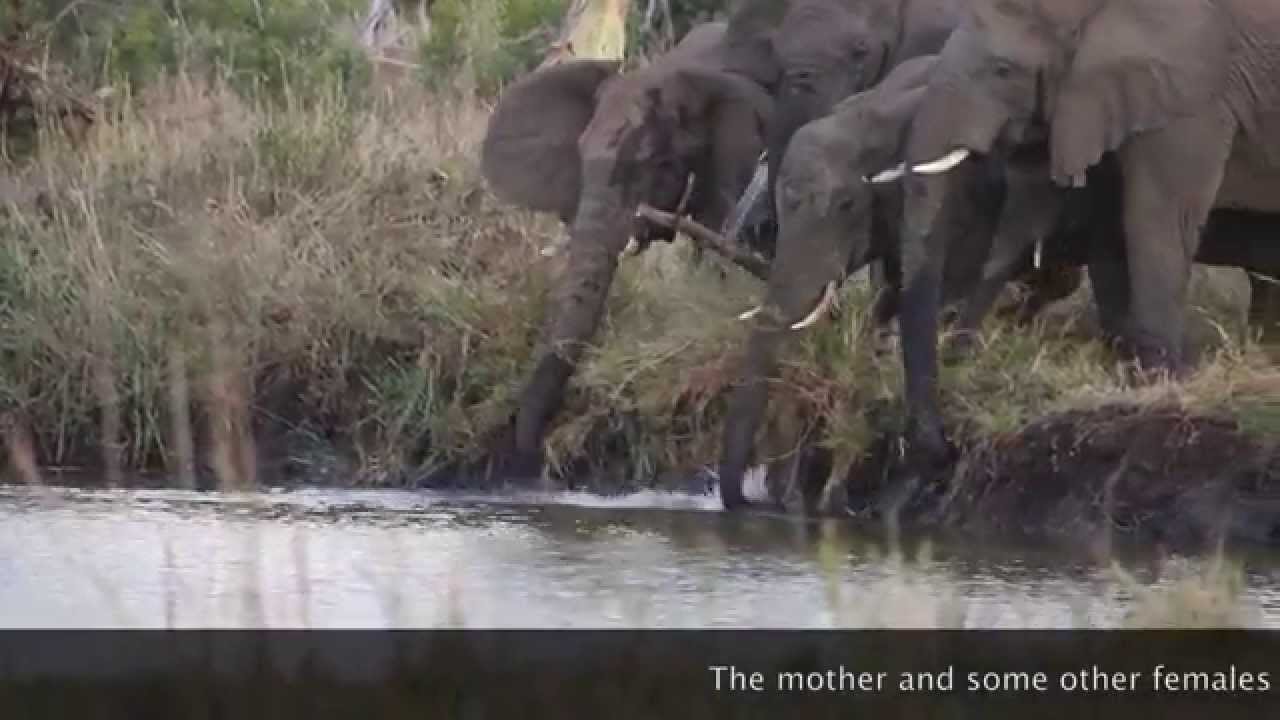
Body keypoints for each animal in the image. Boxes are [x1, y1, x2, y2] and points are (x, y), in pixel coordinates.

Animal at [881, 0, 1280, 471]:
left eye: (1003, 70)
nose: (937, 447)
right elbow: (1104, 220)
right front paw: (1129, 367)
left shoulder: (1191, 92)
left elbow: (1156, 218)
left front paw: (1163, 384)